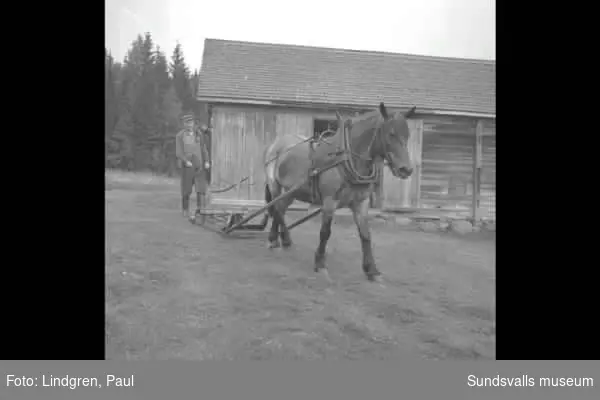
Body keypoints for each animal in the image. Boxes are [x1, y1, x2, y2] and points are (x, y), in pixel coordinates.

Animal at [264, 104, 414, 284]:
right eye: (391, 133)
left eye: (407, 134)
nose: (406, 170)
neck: (346, 158)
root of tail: (277, 144)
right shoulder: (329, 202)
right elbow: (325, 232)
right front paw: (320, 264)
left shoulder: (360, 203)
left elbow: (366, 234)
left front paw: (371, 270)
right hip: (275, 185)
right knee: (277, 209)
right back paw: (276, 240)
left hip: (291, 192)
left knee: (280, 208)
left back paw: (281, 240)